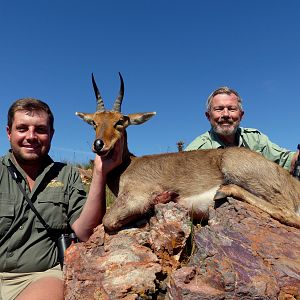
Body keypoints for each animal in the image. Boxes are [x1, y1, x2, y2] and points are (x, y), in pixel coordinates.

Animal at [76, 74, 300, 231]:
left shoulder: (136, 196)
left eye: (120, 121)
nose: (99, 144)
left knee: (289, 214)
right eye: (94, 122)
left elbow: (108, 220)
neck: (128, 165)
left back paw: (223, 190)